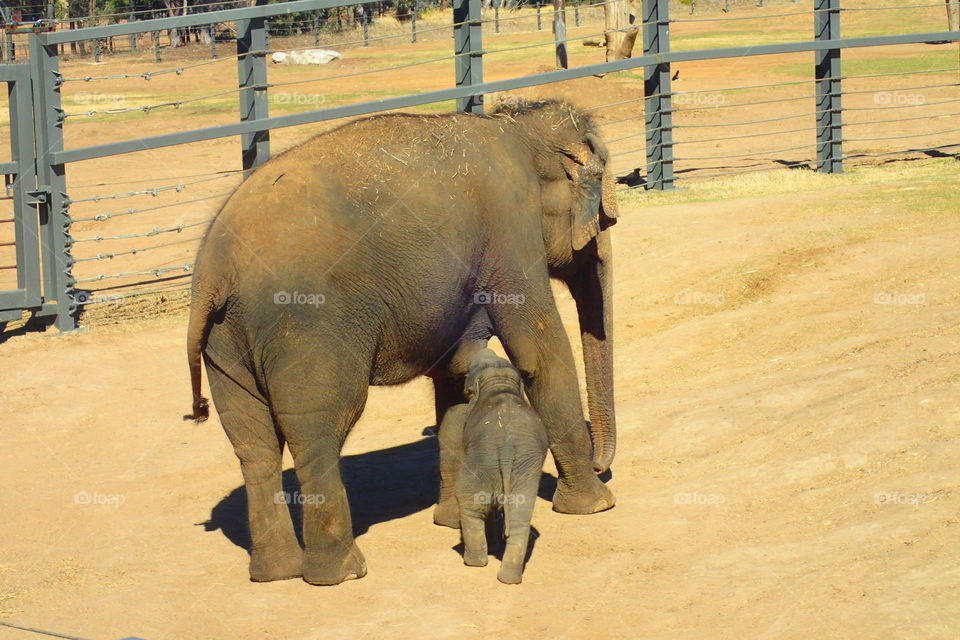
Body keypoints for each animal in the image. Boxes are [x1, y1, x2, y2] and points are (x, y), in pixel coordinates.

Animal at [439, 349, 548, 584]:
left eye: (472, 369)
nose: (485, 349)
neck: (499, 383)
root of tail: (507, 449)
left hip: (481, 467)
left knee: (471, 506)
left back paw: (474, 562)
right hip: (523, 472)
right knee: (519, 519)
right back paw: (509, 578)